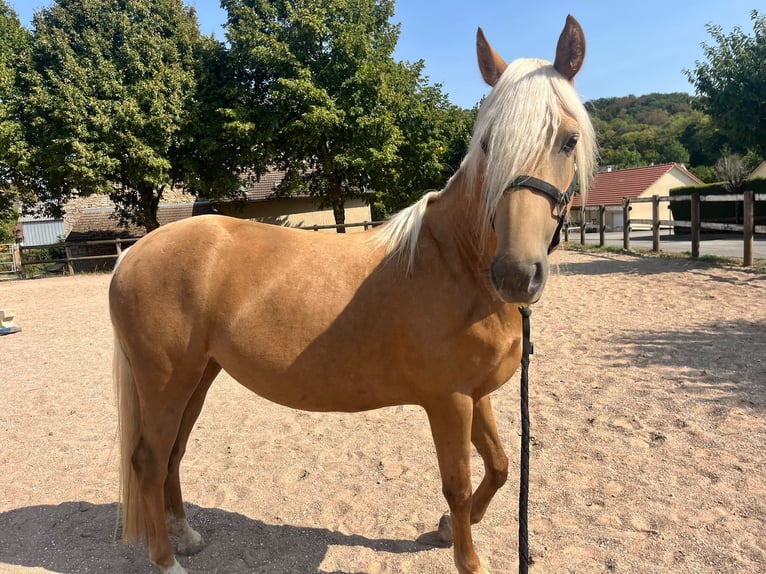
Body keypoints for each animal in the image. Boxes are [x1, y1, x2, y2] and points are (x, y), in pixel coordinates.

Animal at [110, 15, 596, 574]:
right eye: (488, 144)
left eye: (569, 139)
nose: (516, 274)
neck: (457, 261)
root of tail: (134, 252)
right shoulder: (449, 400)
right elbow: (457, 484)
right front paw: (466, 553)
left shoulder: (476, 395)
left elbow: (498, 466)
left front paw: (448, 526)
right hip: (166, 381)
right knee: (148, 460)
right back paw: (168, 559)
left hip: (198, 376)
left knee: (172, 453)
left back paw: (186, 536)